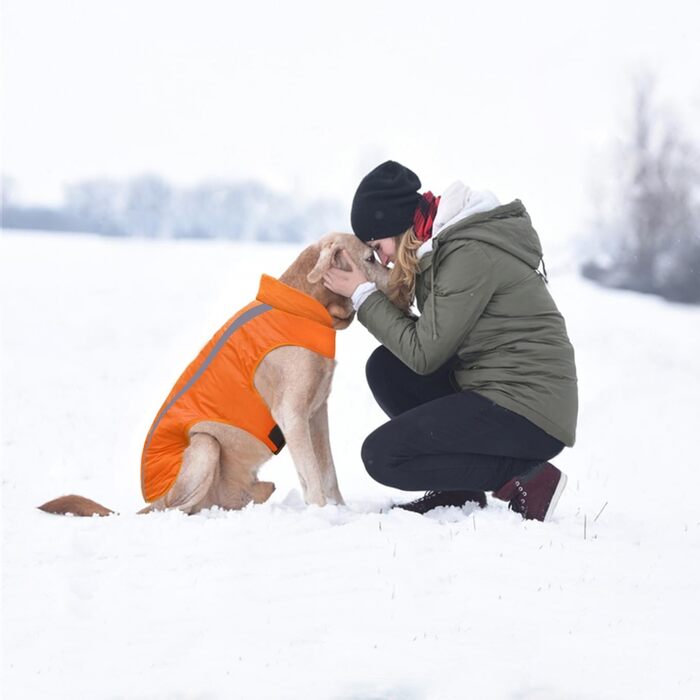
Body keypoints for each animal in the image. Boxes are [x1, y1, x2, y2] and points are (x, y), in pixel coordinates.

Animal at [41, 234, 396, 516]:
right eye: (369, 258)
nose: (396, 276)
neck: (304, 306)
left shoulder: (317, 410)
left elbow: (328, 471)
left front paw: (340, 511)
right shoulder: (292, 413)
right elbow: (311, 474)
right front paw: (325, 515)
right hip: (204, 445)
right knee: (176, 508)